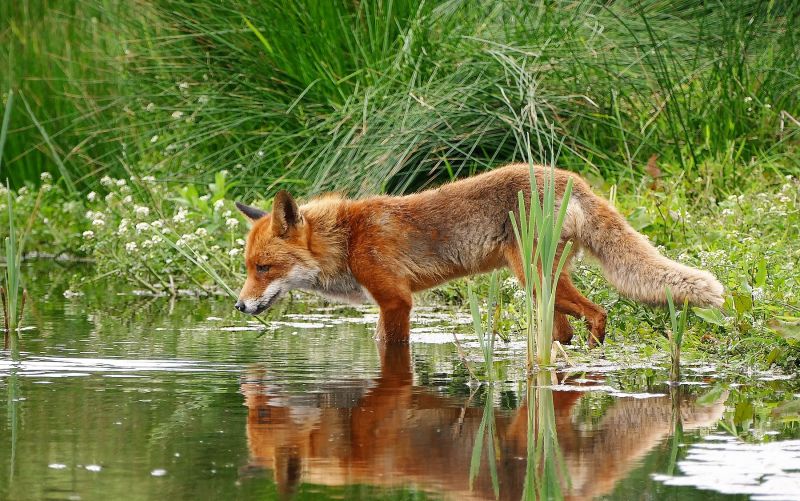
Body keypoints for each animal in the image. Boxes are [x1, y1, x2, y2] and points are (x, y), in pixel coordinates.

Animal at [233, 164, 724, 344]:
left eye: (265, 268)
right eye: (248, 269)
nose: (239, 306)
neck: (348, 240)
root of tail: (571, 179)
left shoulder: (396, 301)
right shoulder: (387, 304)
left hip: (534, 278)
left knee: (599, 313)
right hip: (544, 288)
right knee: (566, 329)